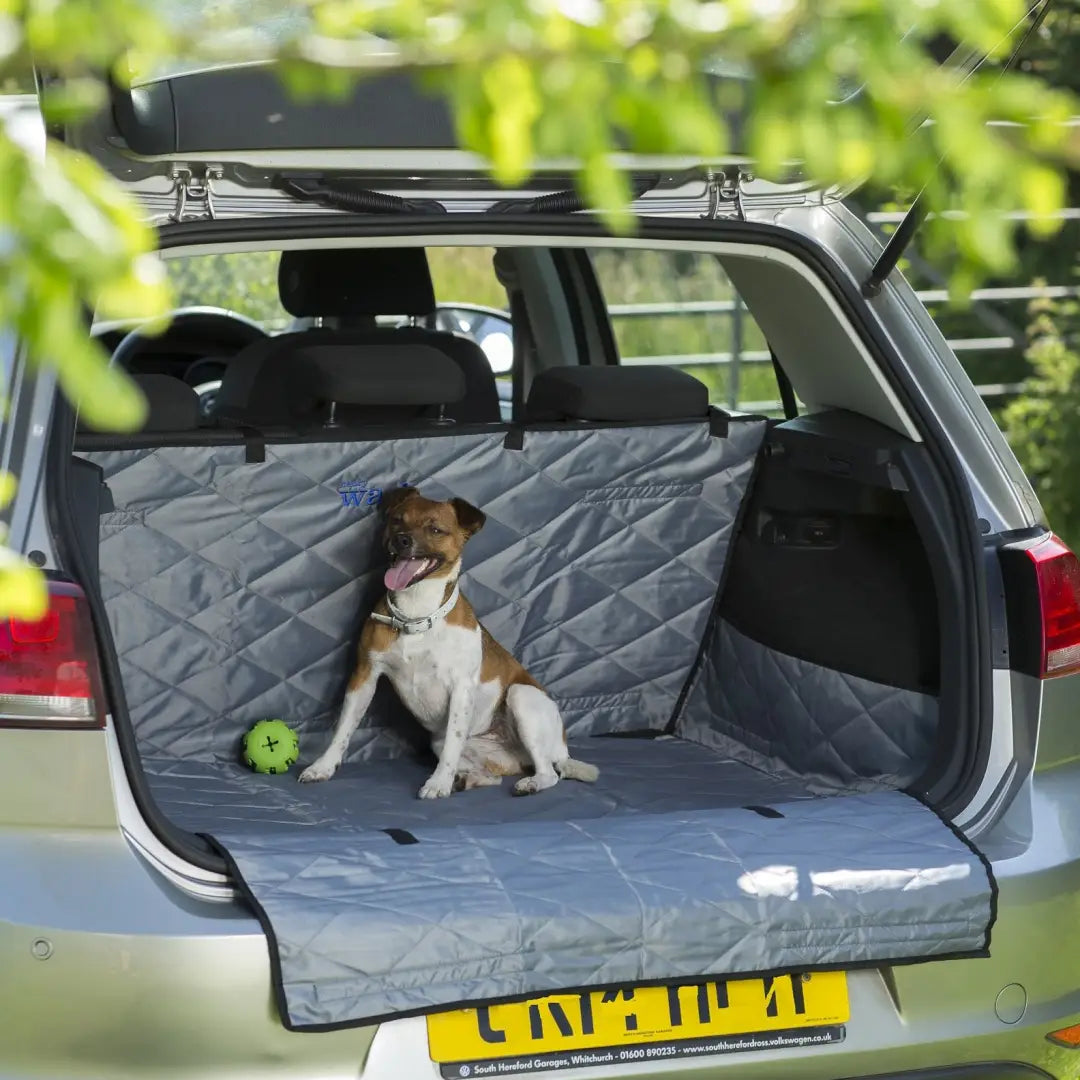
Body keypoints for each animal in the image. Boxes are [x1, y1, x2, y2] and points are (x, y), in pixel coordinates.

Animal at [298, 486, 600, 799]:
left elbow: (452, 747)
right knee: (490, 775)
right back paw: (467, 780)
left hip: (521, 697)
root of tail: (561, 748)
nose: (401, 539)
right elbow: (343, 729)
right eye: (397, 520)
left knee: (549, 772)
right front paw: (323, 767)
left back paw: (529, 783)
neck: (416, 615)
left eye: (435, 529)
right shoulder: (364, 677)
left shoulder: (461, 688)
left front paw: (438, 783)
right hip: (446, 742)